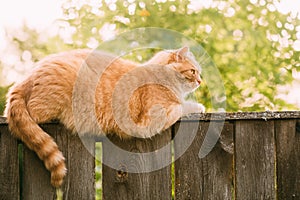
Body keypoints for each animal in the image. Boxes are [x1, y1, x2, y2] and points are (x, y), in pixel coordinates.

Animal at [4, 47, 205, 188]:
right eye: (193, 71)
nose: (200, 81)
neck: (160, 76)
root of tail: (25, 79)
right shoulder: (154, 119)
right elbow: (182, 107)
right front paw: (198, 106)